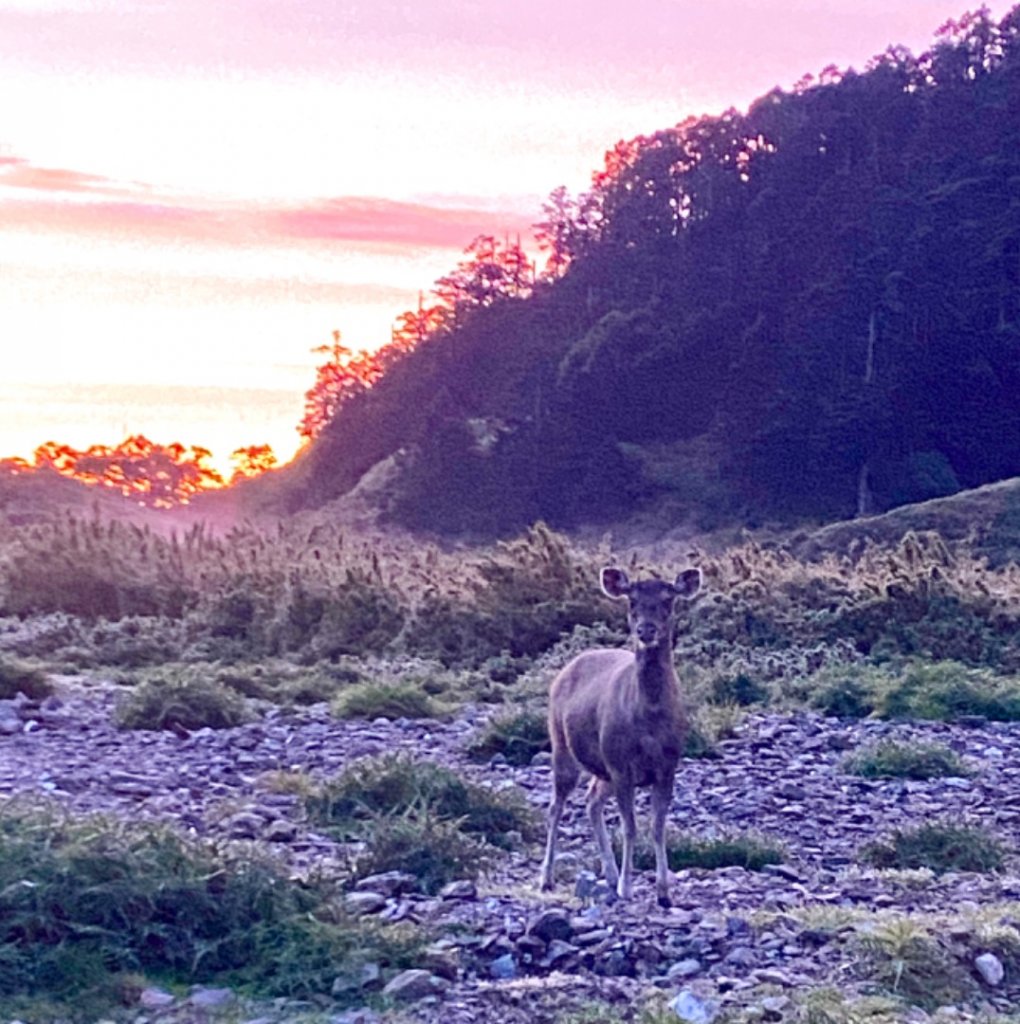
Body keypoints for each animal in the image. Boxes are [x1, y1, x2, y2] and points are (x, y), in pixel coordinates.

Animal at [540, 565, 700, 909]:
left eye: (668, 599)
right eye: (632, 600)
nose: (646, 630)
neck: (649, 719)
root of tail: (564, 671)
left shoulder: (668, 765)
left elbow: (657, 827)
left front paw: (663, 891)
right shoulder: (621, 764)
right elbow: (630, 827)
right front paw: (628, 888)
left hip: (603, 768)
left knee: (591, 801)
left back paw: (609, 875)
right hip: (563, 744)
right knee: (556, 807)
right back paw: (547, 878)